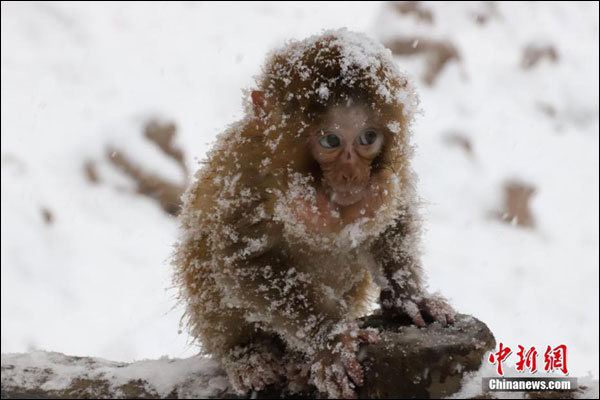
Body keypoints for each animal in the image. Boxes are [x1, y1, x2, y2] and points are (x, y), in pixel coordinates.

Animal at [172, 28, 454, 396]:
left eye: (367, 137)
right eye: (330, 141)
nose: (351, 175)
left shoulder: (399, 168)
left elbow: (394, 217)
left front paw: (408, 295)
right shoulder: (246, 174)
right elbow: (243, 263)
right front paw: (330, 339)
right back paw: (247, 356)